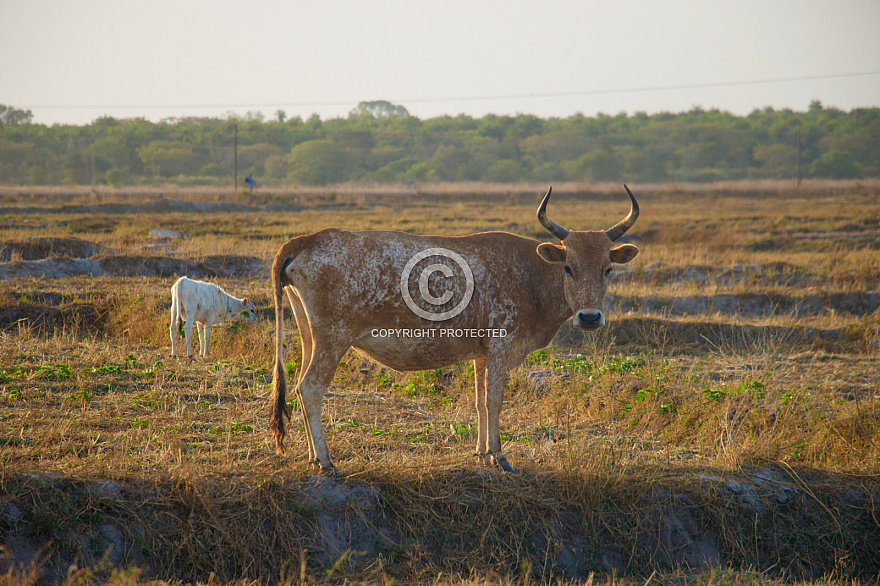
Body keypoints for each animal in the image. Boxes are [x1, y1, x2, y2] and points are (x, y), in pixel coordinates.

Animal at [270, 185, 640, 472]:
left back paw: (312, 459)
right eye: (568, 267)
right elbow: (494, 401)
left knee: (300, 387)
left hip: (310, 336)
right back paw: (326, 461)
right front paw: (499, 457)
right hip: (333, 339)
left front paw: (481, 454)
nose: (590, 317)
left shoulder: (482, 352)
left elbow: (479, 402)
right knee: (311, 388)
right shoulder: (501, 345)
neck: (529, 274)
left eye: (608, 268)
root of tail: (305, 240)